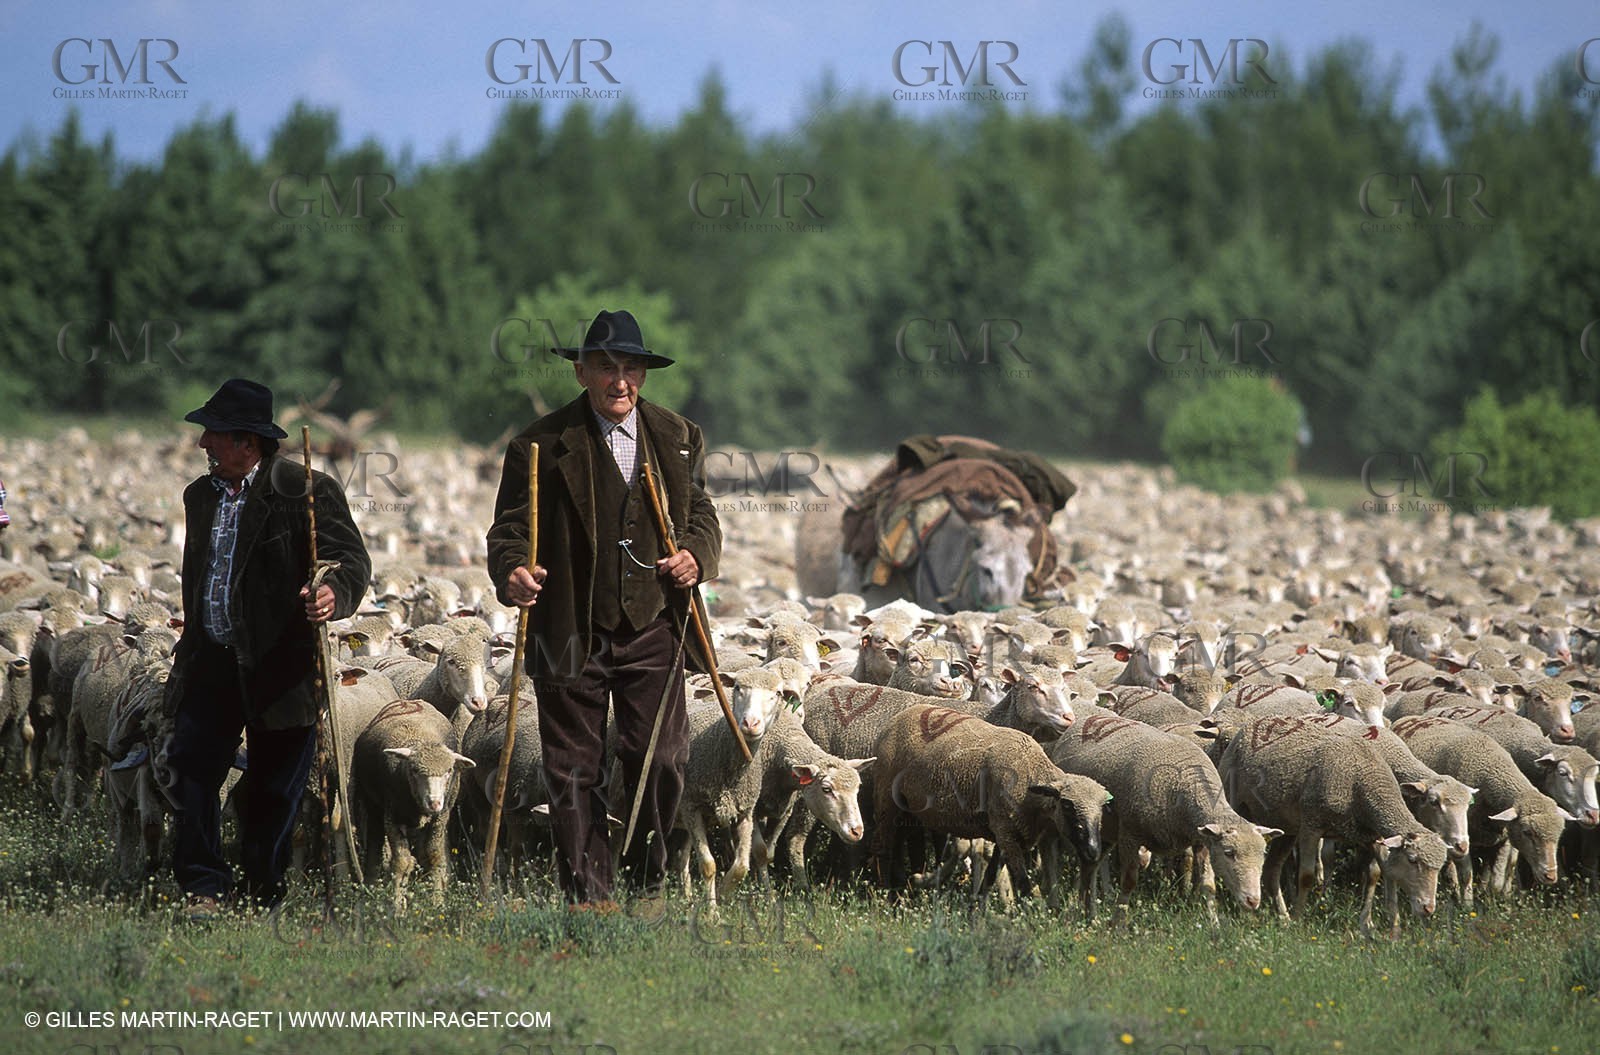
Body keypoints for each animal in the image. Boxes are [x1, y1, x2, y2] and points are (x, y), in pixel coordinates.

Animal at [351, 698, 475, 911]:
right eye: (415, 770)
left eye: (449, 771)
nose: (434, 802)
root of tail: (409, 701)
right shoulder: (392, 815)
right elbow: (401, 862)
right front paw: (397, 907)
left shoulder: (441, 817)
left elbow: (434, 856)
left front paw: (437, 902)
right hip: (373, 805)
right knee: (375, 846)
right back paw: (370, 887)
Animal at [872, 703, 1109, 910]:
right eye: (1067, 805)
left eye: (1102, 808)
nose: (1093, 850)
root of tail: (900, 716)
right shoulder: (1006, 834)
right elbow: (1022, 882)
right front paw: (1032, 917)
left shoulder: (1004, 833)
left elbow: (991, 874)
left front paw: (976, 908)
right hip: (886, 798)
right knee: (884, 849)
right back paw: (886, 898)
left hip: (908, 809)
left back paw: (904, 889)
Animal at [1045, 707, 1279, 921]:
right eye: (1229, 853)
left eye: (1263, 854)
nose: (1253, 901)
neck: (1184, 785)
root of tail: (1086, 719)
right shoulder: (1129, 835)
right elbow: (1128, 882)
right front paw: (1118, 926)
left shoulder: (1202, 840)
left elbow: (1208, 884)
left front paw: (1214, 927)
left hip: (1105, 832)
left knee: (1090, 868)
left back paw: (1088, 915)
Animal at [1217, 715, 1449, 937]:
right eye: (1413, 860)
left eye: (1440, 866)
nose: (1428, 908)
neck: (1363, 782)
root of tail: (1254, 723)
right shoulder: (1311, 825)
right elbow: (1306, 876)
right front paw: (1299, 919)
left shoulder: (1371, 835)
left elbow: (1376, 874)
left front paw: (1376, 925)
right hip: (1236, 803)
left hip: (1286, 827)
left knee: (1272, 869)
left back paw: (1282, 917)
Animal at [1392, 714, 1574, 904]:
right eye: (1527, 832)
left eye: (1560, 833)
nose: (1551, 876)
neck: (1491, 768)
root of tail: (1414, 718)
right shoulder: (1466, 839)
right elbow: (1466, 875)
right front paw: (1467, 905)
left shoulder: (1505, 837)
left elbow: (1498, 879)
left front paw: (1494, 900)